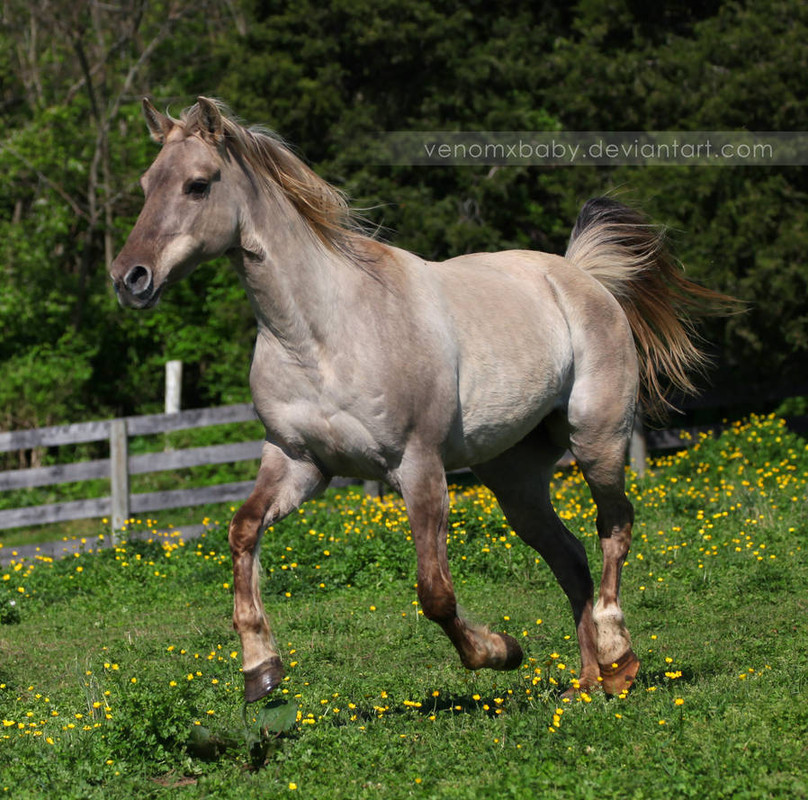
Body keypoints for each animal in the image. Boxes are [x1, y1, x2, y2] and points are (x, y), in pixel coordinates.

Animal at [109, 97, 732, 704]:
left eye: (198, 184)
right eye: (146, 183)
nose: (128, 278)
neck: (321, 335)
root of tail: (582, 278)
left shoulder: (418, 465)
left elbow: (435, 592)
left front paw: (500, 651)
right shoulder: (298, 462)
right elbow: (242, 532)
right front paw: (261, 669)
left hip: (597, 440)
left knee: (614, 529)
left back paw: (618, 661)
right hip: (514, 478)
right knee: (569, 555)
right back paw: (588, 680)